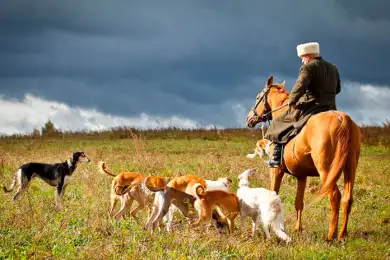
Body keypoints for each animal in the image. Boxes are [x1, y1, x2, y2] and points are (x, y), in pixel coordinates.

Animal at [245, 75, 362, 242]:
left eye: (257, 97)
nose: (249, 118)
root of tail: (342, 119)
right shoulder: (302, 176)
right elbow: (298, 202)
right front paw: (298, 229)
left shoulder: (276, 171)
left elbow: (273, 194)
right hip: (350, 168)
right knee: (347, 198)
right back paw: (342, 235)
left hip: (326, 170)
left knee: (334, 196)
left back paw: (330, 236)